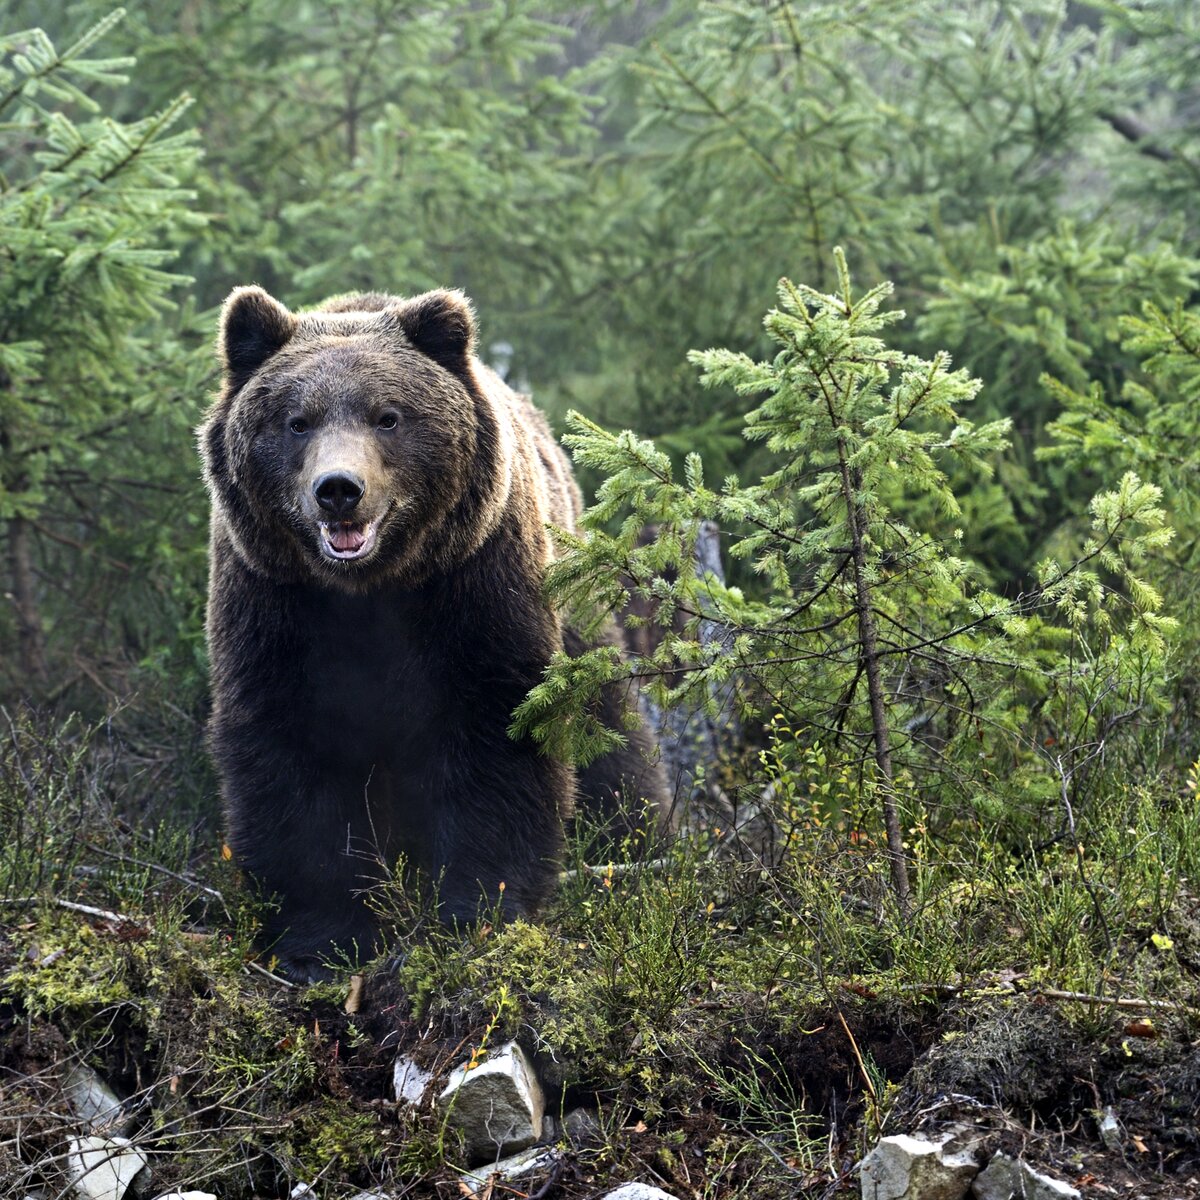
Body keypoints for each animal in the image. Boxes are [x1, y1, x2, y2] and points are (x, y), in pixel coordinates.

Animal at [200, 285, 662, 979]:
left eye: (387, 417)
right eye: (296, 421)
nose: (339, 490)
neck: (371, 588)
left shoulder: (473, 585)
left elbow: (497, 732)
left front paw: (479, 912)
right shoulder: (274, 604)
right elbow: (290, 755)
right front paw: (320, 941)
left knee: (609, 731)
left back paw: (637, 838)